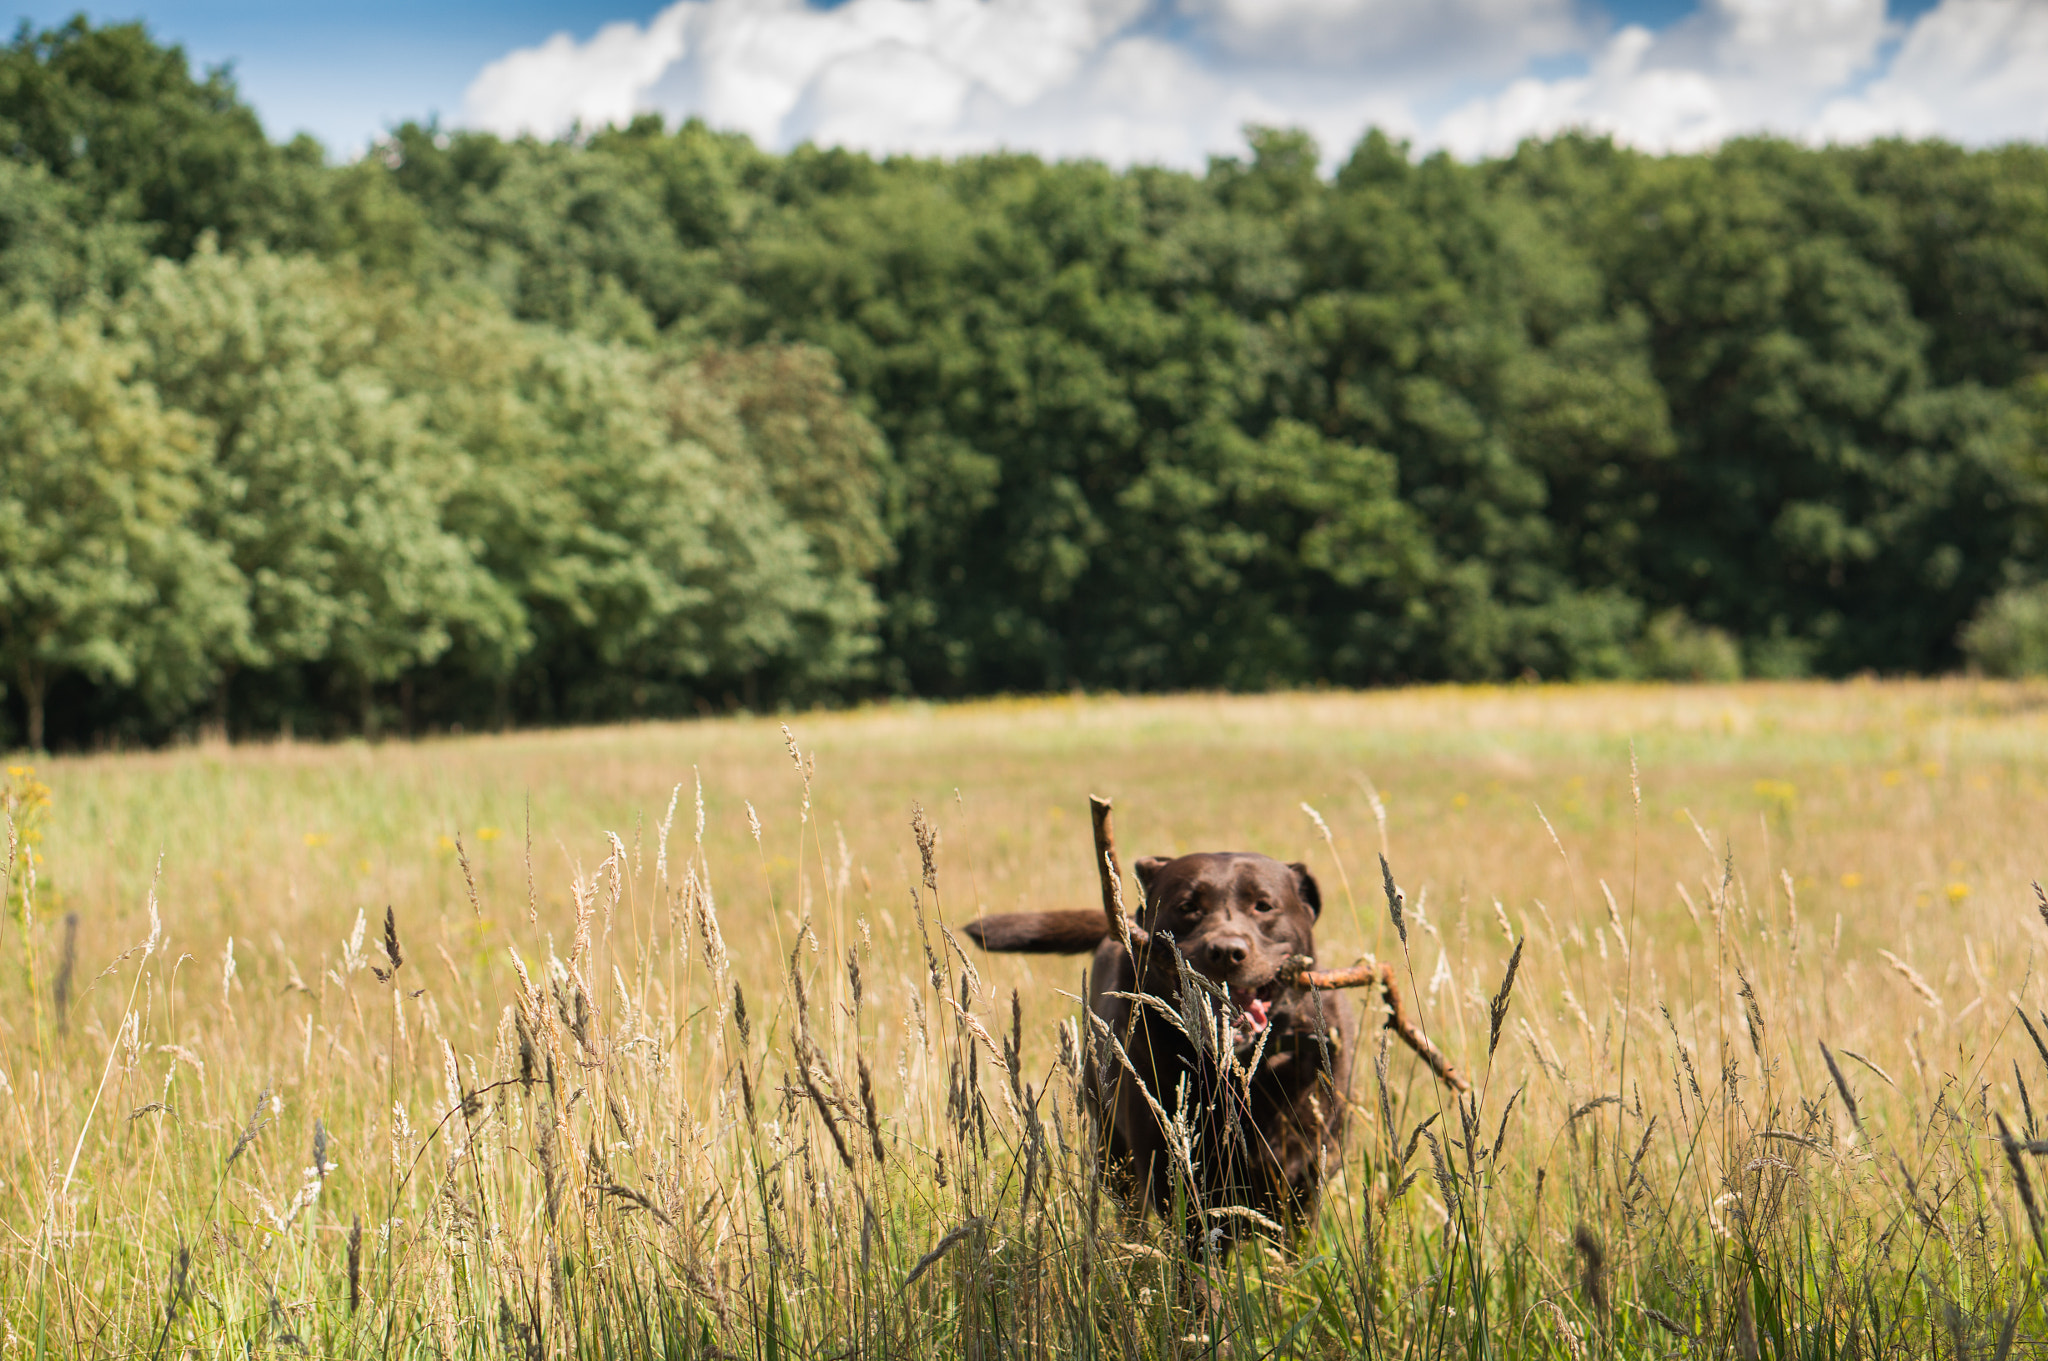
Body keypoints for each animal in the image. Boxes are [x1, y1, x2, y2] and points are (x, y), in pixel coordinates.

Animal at [966, 855, 1351, 1244]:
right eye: (1187, 907)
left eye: (1264, 905)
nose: (1227, 952)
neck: (1231, 1074)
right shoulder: (1178, 1180)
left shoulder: (1301, 1186)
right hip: (1112, 1149)